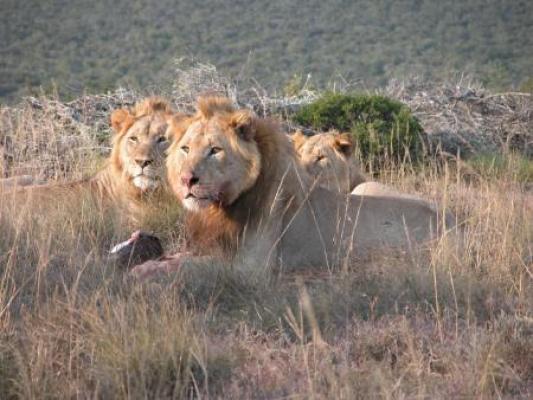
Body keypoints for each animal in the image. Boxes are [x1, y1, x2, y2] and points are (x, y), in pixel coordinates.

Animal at [130, 96, 454, 280]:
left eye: (215, 150)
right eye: (185, 148)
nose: (186, 180)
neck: (221, 208)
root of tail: (450, 220)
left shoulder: (250, 267)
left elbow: (189, 268)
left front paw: (143, 272)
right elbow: (177, 258)